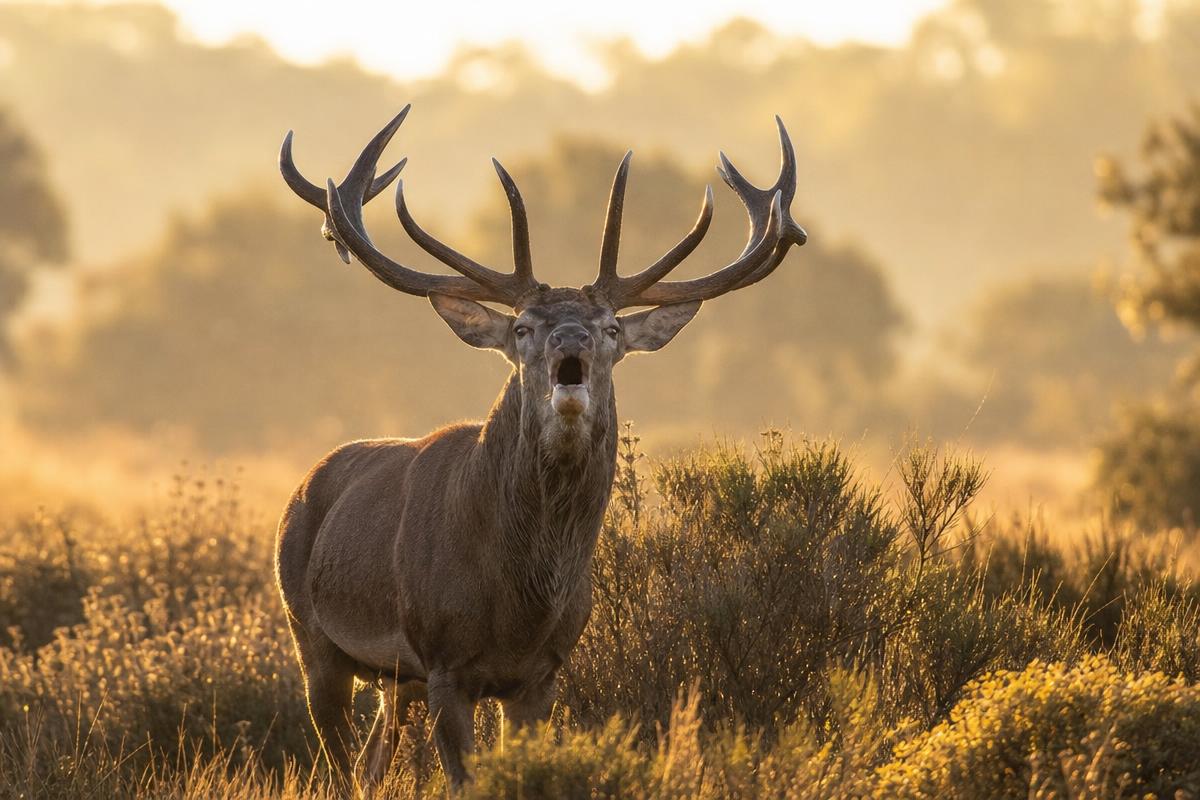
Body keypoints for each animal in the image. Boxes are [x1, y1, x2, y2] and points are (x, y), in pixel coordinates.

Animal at [274, 104, 807, 793]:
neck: (521, 603)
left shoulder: (543, 673)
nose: (570, 341)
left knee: (370, 764)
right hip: (310, 634)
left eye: (612, 328)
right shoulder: (445, 660)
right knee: (338, 765)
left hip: (396, 681)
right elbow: (464, 780)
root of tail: (302, 487)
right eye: (524, 327)